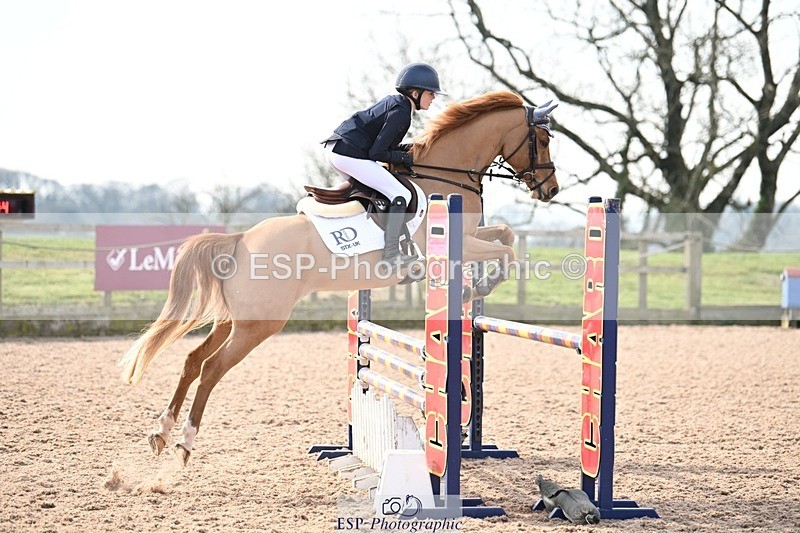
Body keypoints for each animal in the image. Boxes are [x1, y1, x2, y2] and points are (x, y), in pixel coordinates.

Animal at [119, 90, 560, 465]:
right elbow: (506, 248)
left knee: (193, 360)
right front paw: (479, 285)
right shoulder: (459, 242)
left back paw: (162, 432)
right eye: (541, 139)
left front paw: (478, 283)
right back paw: (184, 443)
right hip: (259, 324)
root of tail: (241, 239)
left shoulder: (472, 237)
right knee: (211, 368)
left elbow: (505, 235)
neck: (445, 174)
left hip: (236, 319)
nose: (551, 190)